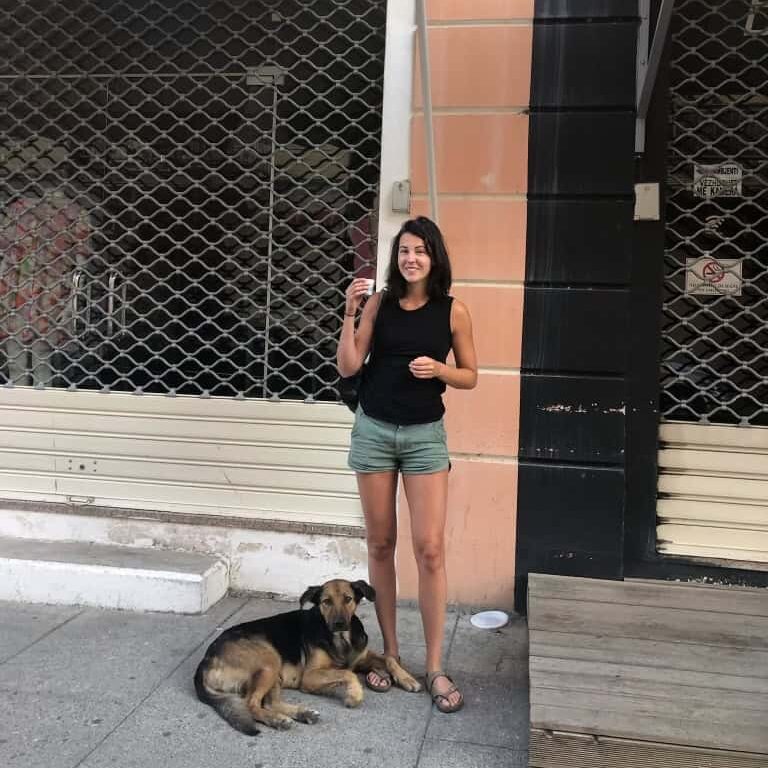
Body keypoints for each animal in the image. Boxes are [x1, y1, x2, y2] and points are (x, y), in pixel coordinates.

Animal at [192, 580, 420, 736]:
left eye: (348, 599)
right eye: (326, 602)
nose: (339, 624)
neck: (341, 639)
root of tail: (205, 661)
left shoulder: (361, 657)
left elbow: (389, 659)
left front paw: (408, 679)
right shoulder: (309, 677)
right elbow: (347, 673)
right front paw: (354, 695)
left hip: (274, 670)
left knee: (270, 702)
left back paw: (303, 714)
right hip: (269, 660)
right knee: (252, 703)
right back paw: (278, 721)